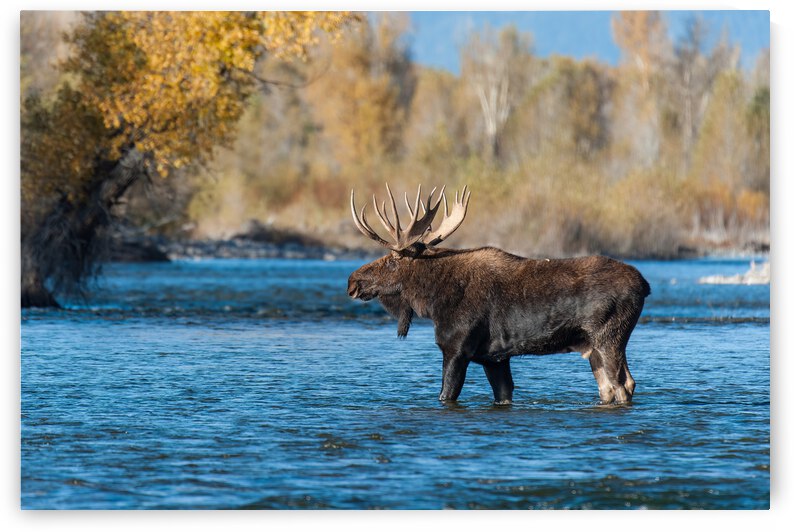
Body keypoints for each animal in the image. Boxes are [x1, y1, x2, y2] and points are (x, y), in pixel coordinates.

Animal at [346, 184, 650, 405]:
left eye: (391, 260)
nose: (352, 282)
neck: (433, 301)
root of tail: (645, 285)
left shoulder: (456, 349)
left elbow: (446, 395)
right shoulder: (495, 358)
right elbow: (503, 395)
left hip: (609, 338)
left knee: (624, 384)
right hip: (591, 347)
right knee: (607, 388)